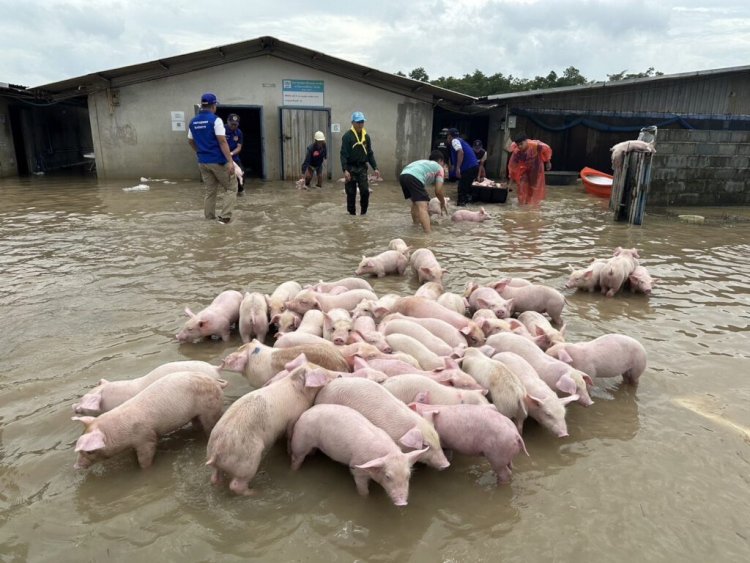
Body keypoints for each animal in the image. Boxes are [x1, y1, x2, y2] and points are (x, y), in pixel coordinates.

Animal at [206, 364, 334, 496]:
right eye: (323, 372)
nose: (338, 375)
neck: (299, 391)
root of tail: (217, 450)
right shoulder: (292, 419)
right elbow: (290, 435)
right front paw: (289, 451)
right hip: (247, 462)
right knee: (236, 485)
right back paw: (257, 492)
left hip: (215, 457)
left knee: (215, 477)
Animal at [290, 406, 426, 506]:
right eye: (388, 476)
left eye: (408, 476)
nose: (402, 503)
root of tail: (305, 413)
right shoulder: (357, 468)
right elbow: (363, 489)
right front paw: (365, 498)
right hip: (300, 442)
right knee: (296, 459)